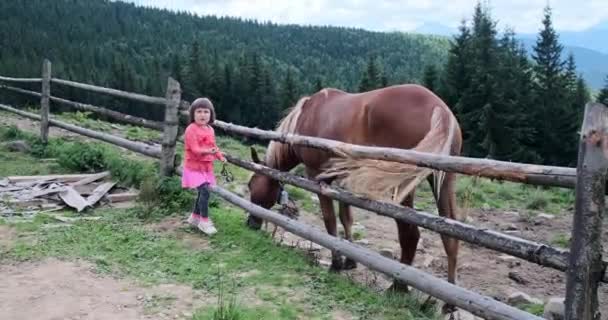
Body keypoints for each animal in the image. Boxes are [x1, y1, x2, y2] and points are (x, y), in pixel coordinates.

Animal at [245, 83, 464, 300]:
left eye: (252, 186)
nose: (250, 224)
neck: (305, 116)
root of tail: (440, 109)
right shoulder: (344, 181)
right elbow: (346, 217)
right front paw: (350, 260)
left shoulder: (317, 177)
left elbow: (330, 220)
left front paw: (336, 264)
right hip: (445, 181)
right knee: (450, 236)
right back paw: (447, 301)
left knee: (410, 233)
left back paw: (398, 286)